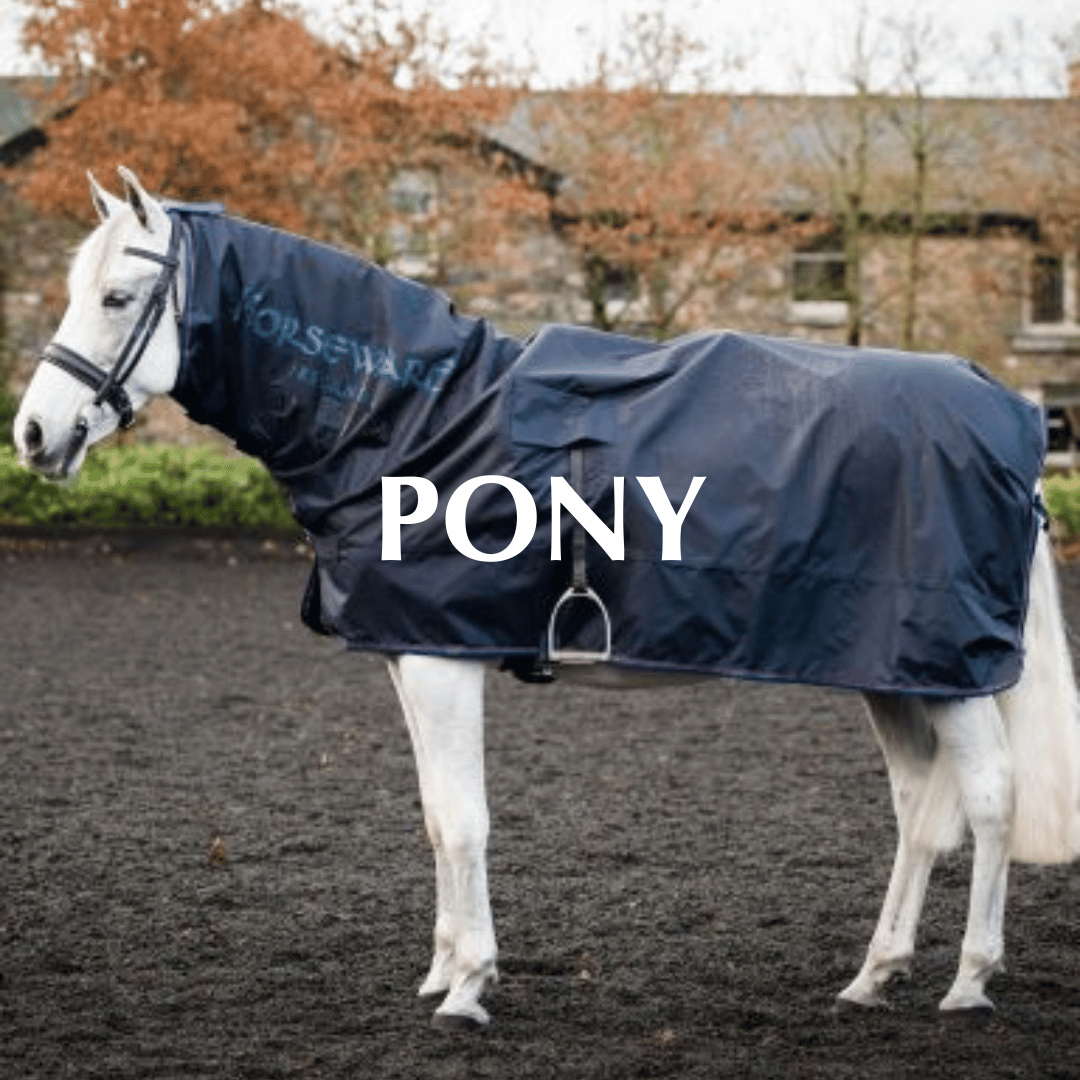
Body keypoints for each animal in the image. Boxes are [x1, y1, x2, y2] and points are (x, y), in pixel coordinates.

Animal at [13, 167, 1080, 1030]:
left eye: (117, 296)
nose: (32, 433)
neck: (418, 417)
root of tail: (1011, 415)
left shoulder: (445, 661)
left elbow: (464, 820)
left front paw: (469, 988)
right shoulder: (411, 653)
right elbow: (434, 817)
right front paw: (442, 970)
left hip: (951, 672)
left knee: (990, 799)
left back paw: (968, 982)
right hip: (894, 670)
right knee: (921, 810)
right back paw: (874, 976)